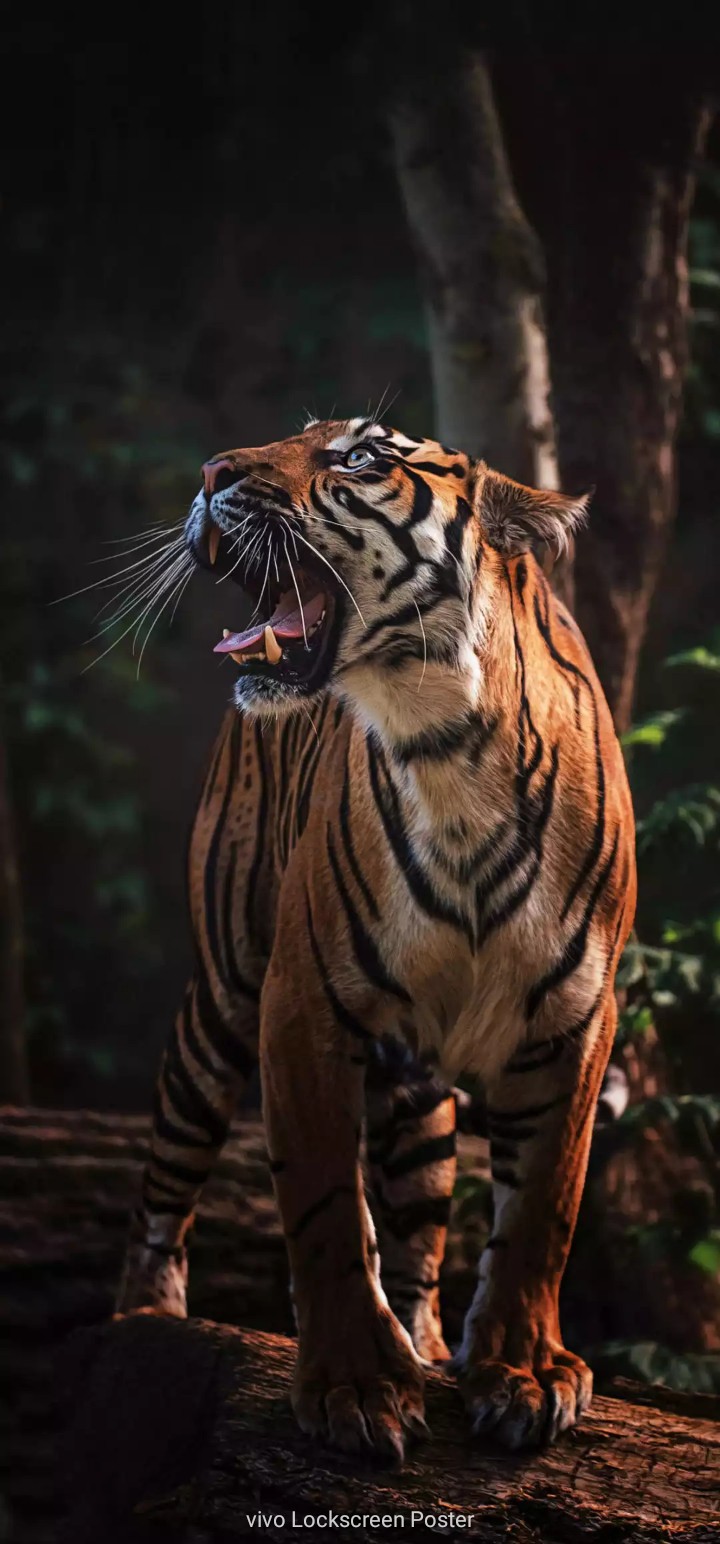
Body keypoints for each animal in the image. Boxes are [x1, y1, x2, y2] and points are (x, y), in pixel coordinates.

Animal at [116, 415, 636, 1461]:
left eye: (361, 457)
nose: (212, 472)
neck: (451, 745)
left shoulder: (576, 1022)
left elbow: (541, 1210)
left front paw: (520, 1373)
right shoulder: (300, 1003)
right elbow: (321, 1202)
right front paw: (355, 1385)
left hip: (419, 1088)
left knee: (421, 1223)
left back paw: (432, 1345)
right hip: (220, 1000)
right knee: (166, 1179)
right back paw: (143, 1316)